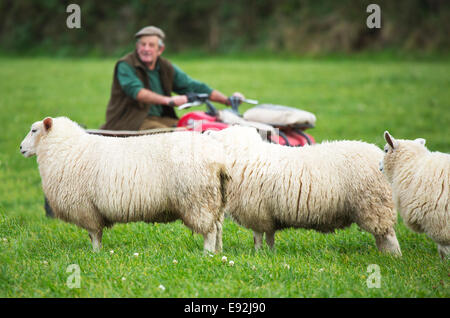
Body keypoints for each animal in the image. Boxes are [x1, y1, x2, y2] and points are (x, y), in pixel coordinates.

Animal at [20, 117, 229, 253]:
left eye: (34, 130)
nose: (21, 148)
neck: (65, 148)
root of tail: (219, 157)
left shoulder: (86, 209)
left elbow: (94, 235)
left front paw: (96, 254)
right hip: (216, 201)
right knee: (218, 228)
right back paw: (218, 253)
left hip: (198, 200)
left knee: (210, 230)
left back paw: (207, 254)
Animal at [207, 125, 400, 255]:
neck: (244, 156)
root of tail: (379, 156)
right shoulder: (268, 213)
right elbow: (269, 236)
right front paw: (270, 253)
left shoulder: (257, 211)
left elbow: (258, 236)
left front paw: (259, 253)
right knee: (381, 236)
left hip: (374, 204)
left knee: (388, 235)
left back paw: (392, 257)